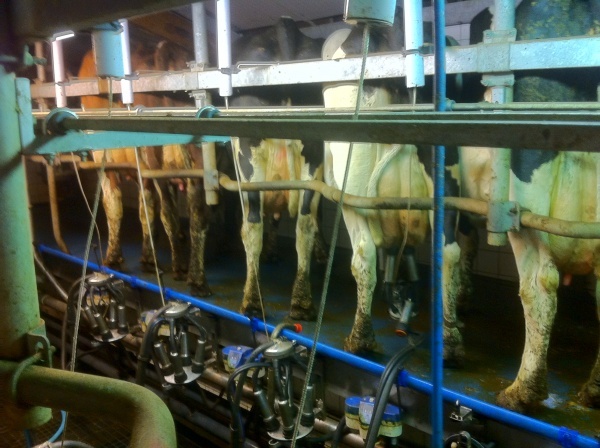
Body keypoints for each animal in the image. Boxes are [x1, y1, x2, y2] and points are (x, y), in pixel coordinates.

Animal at [79, 40, 212, 297]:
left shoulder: (107, 161)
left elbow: (115, 205)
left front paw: (113, 257)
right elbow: (145, 210)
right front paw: (148, 258)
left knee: (168, 213)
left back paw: (180, 267)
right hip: (194, 163)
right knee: (197, 216)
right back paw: (196, 278)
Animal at [230, 17, 325, 320]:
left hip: (248, 156)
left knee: (252, 223)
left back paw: (251, 300)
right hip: (313, 151)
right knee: (305, 222)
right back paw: (302, 302)